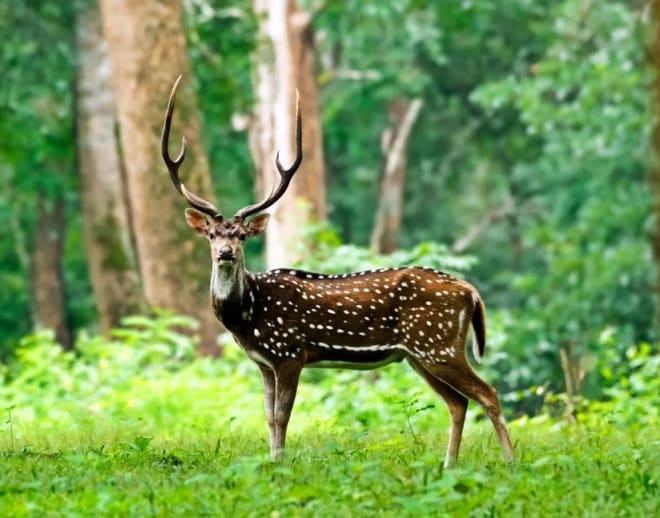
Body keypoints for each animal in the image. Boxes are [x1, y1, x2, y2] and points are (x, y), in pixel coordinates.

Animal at [161, 78, 516, 472]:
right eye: (212, 235)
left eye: (241, 235)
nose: (226, 253)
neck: (248, 314)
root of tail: (471, 292)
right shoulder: (264, 362)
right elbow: (267, 416)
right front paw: (270, 461)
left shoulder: (290, 352)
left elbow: (282, 416)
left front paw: (280, 465)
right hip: (419, 353)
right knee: (458, 402)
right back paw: (448, 466)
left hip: (438, 344)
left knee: (488, 392)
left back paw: (511, 462)